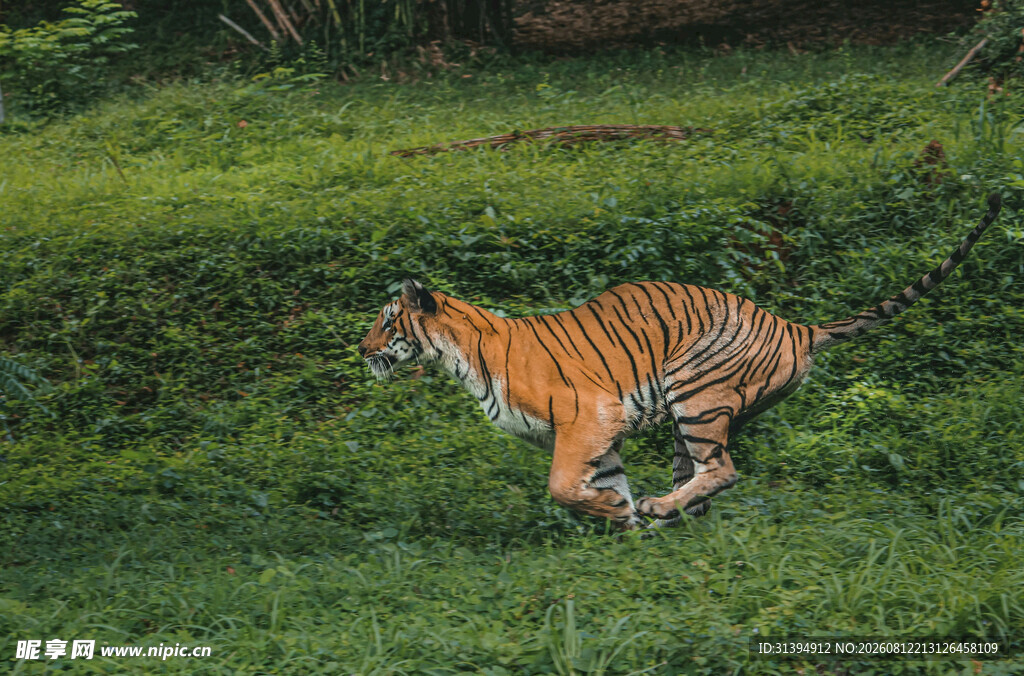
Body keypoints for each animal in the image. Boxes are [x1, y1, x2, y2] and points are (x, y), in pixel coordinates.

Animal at [357, 194, 1002, 531]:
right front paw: (623, 520)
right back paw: (666, 515)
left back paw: (661, 508)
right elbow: (601, 482)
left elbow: (562, 486)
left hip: (696, 395)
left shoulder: (587, 418)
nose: (362, 350)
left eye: (388, 321)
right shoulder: (602, 436)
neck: (461, 356)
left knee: (723, 470)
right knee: (701, 479)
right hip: (688, 417)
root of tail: (795, 325)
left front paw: (621, 513)